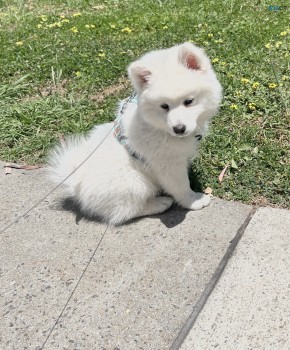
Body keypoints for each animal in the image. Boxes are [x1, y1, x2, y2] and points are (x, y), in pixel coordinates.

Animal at [48, 42, 223, 226]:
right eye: (164, 106)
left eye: (188, 101)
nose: (179, 128)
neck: (159, 128)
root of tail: (76, 184)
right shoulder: (167, 163)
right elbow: (180, 185)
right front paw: (193, 200)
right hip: (134, 183)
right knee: (125, 212)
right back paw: (159, 203)